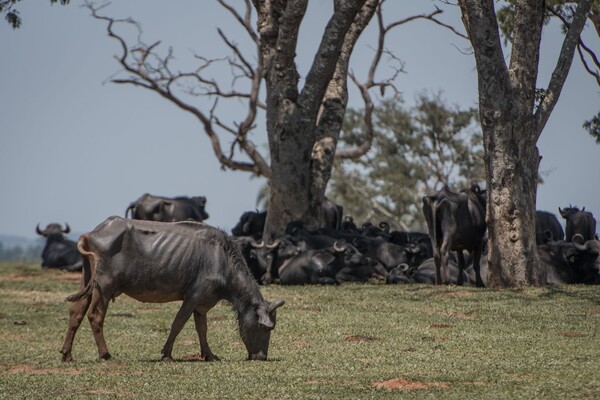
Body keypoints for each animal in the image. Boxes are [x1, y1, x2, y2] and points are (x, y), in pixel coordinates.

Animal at [59, 216, 284, 362]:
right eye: (266, 328)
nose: (262, 357)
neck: (222, 259)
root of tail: (90, 234)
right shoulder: (194, 295)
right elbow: (178, 323)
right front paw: (167, 354)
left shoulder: (202, 301)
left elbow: (202, 328)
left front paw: (209, 355)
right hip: (104, 286)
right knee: (95, 316)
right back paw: (105, 354)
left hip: (88, 281)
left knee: (76, 312)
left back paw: (67, 354)